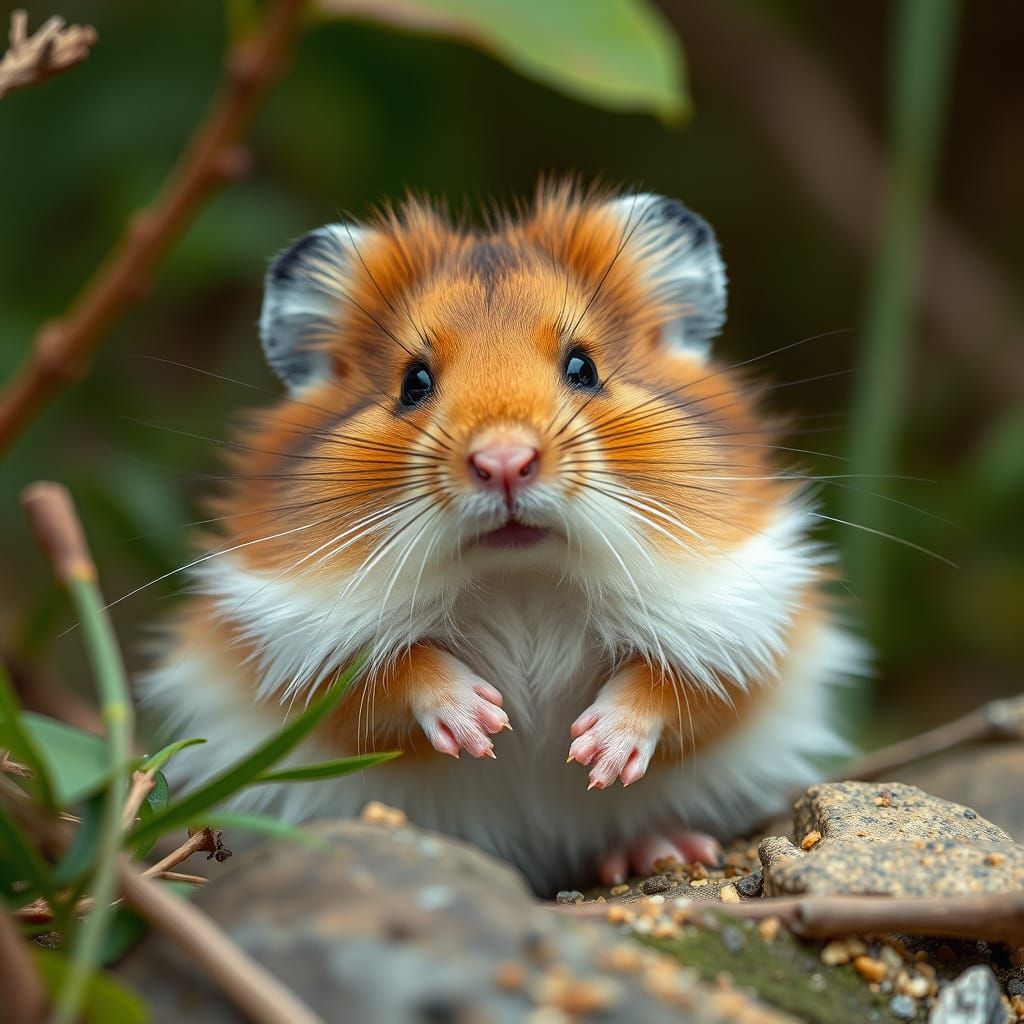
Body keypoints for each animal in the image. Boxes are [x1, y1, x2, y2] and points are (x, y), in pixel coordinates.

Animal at [140, 183, 865, 895]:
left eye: (583, 367)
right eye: (414, 382)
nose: (506, 462)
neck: (521, 576)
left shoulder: (744, 630)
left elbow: (671, 686)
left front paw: (593, 751)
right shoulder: (295, 651)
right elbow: (395, 673)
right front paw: (485, 723)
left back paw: (658, 849)